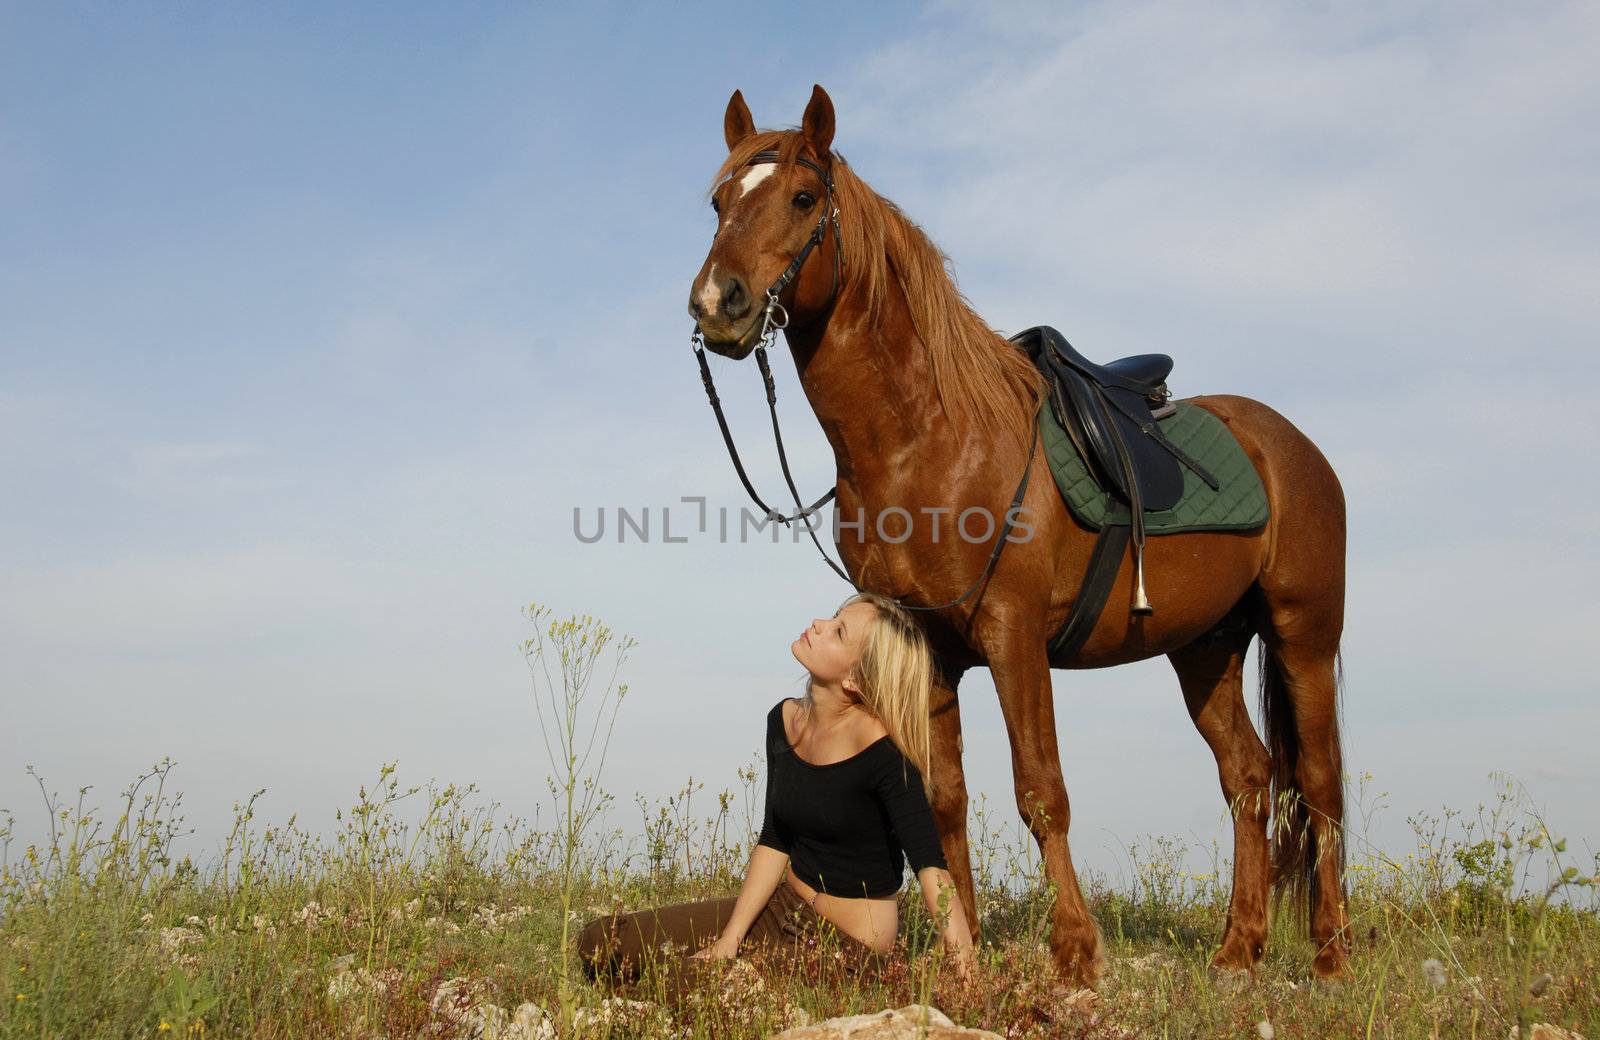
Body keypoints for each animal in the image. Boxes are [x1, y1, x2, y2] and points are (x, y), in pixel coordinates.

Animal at [688, 87, 1350, 979]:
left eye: (799, 199)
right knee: (1248, 776)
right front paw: (961, 947)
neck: (929, 439)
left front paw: (1074, 953)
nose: (715, 303)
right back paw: (1238, 951)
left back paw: (1331, 956)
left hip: (1303, 634)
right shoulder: (929, 649)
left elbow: (1041, 790)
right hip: (1205, 647)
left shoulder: (1013, 635)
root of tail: (1291, 447)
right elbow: (942, 801)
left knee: (1319, 782)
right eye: (719, 202)